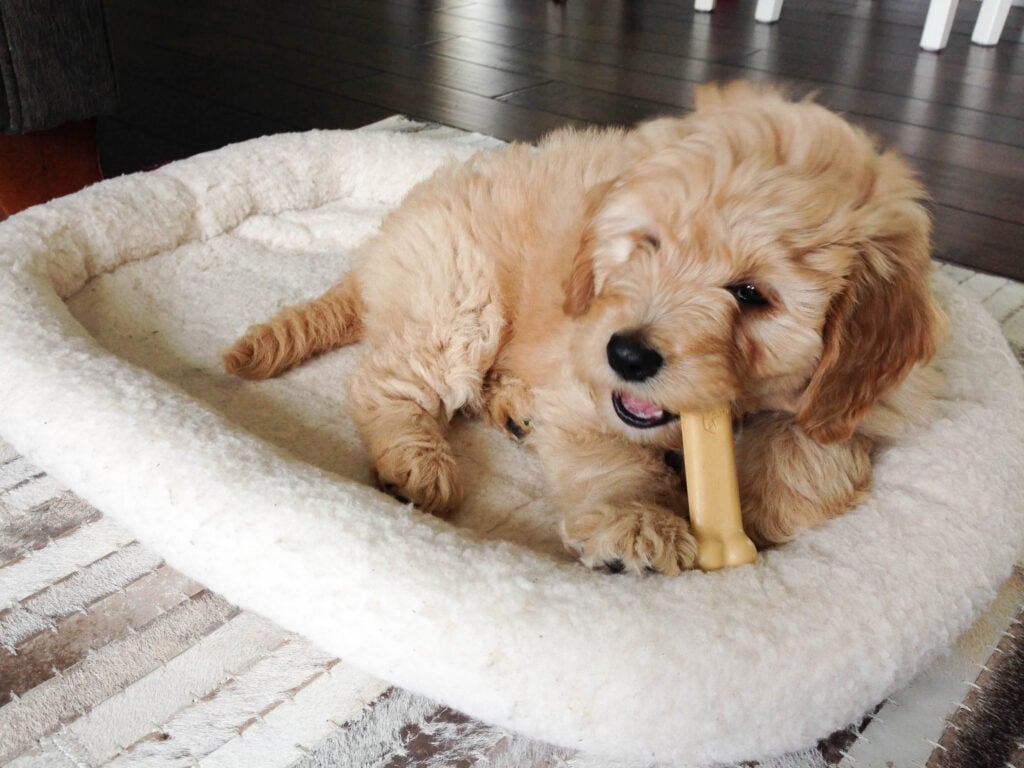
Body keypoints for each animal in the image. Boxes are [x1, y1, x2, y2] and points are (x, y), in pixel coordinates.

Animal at [224, 83, 942, 577]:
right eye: (646, 244)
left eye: (750, 294)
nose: (627, 355)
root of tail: (382, 240)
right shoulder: (582, 375)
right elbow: (610, 458)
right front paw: (639, 526)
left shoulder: (864, 396)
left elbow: (817, 453)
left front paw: (759, 512)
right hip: (456, 296)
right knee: (386, 383)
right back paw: (417, 463)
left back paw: (513, 409)